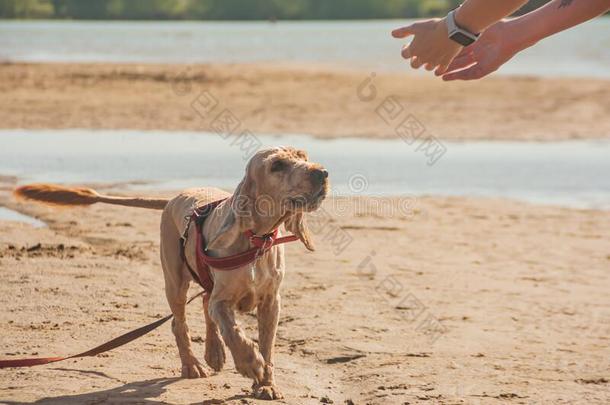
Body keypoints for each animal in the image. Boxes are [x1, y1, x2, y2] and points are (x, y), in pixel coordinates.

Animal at [15, 147, 328, 400]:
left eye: (303, 156)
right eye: (277, 165)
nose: (322, 173)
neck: (256, 239)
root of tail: (173, 197)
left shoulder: (271, 303)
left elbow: (267, 345)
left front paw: (266, 385)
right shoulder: (223, 300)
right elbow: (234, 331)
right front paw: (250, 363)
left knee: (203, 306)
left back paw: (214, 354)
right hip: (175, 283)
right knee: (181, 323)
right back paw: (193, 365)